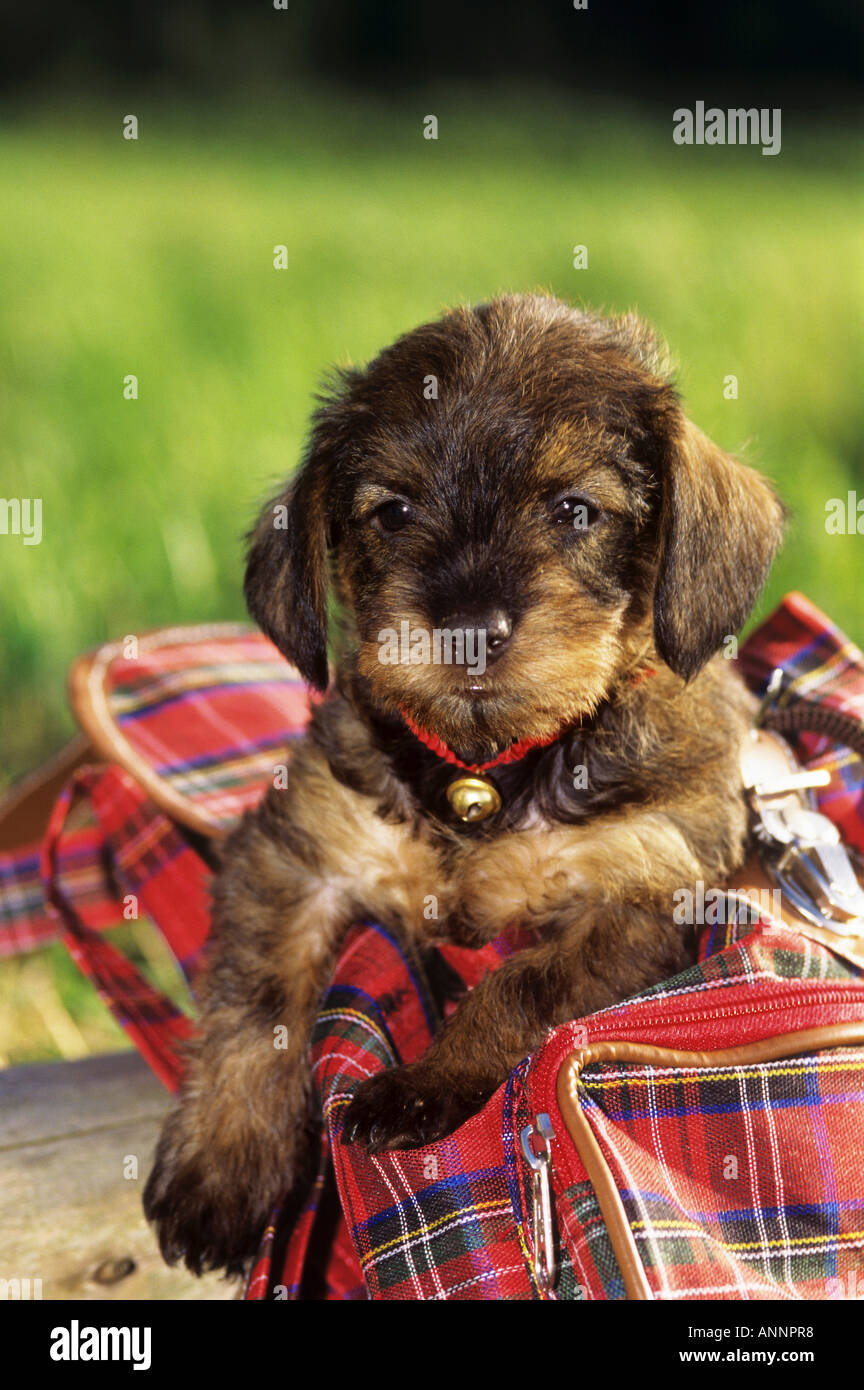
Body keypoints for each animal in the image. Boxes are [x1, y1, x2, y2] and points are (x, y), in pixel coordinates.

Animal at [143, 293, 783, 1273]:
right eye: (394, 510)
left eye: (575, 510)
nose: (469, 628)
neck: (487, 772)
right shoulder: (298, 853)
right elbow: (256, 1004)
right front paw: (221, 1167)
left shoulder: (642, 895)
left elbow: (518, 987)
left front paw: (423, 1084)